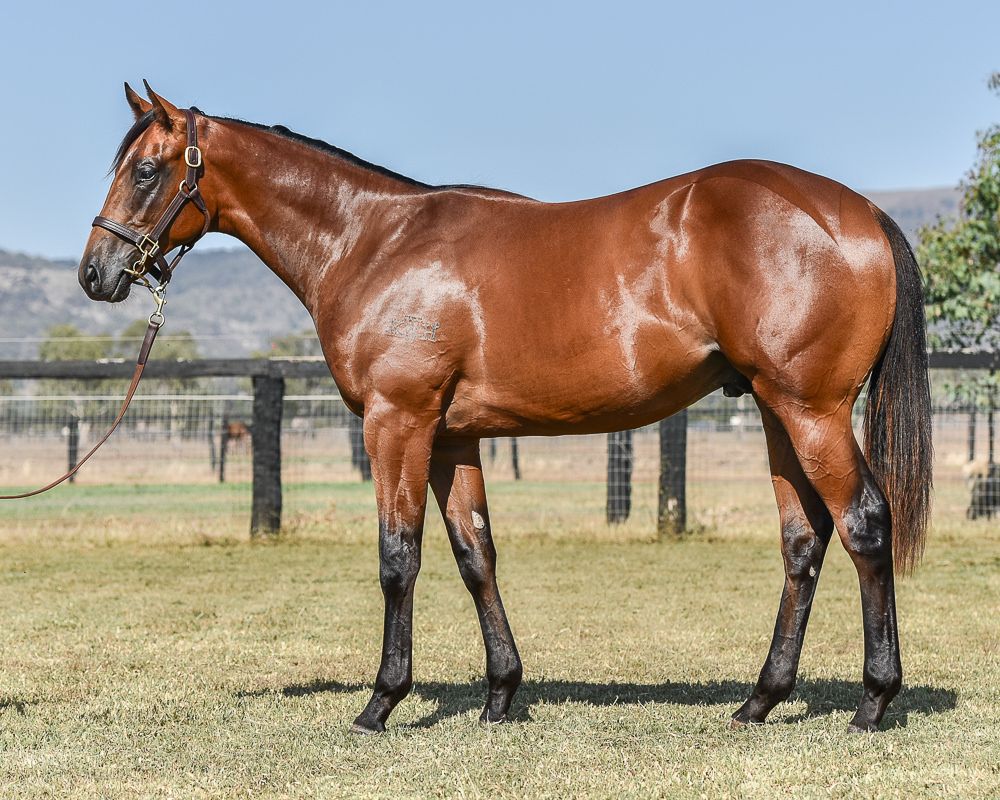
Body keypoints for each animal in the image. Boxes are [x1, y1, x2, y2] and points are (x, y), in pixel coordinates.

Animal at [79, 83, 932, 734]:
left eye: (148, 170)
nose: (96, 272)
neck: (374, 242)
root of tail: (861, 214)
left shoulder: (398, 422)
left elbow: (398, 558)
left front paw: (381, 703)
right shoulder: (453, 438)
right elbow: (474, 554)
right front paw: (499, 694)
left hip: (810, 409)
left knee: (863, 524)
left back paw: (873, 701)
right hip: (775, 411)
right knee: (804, 540)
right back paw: (760, 701)